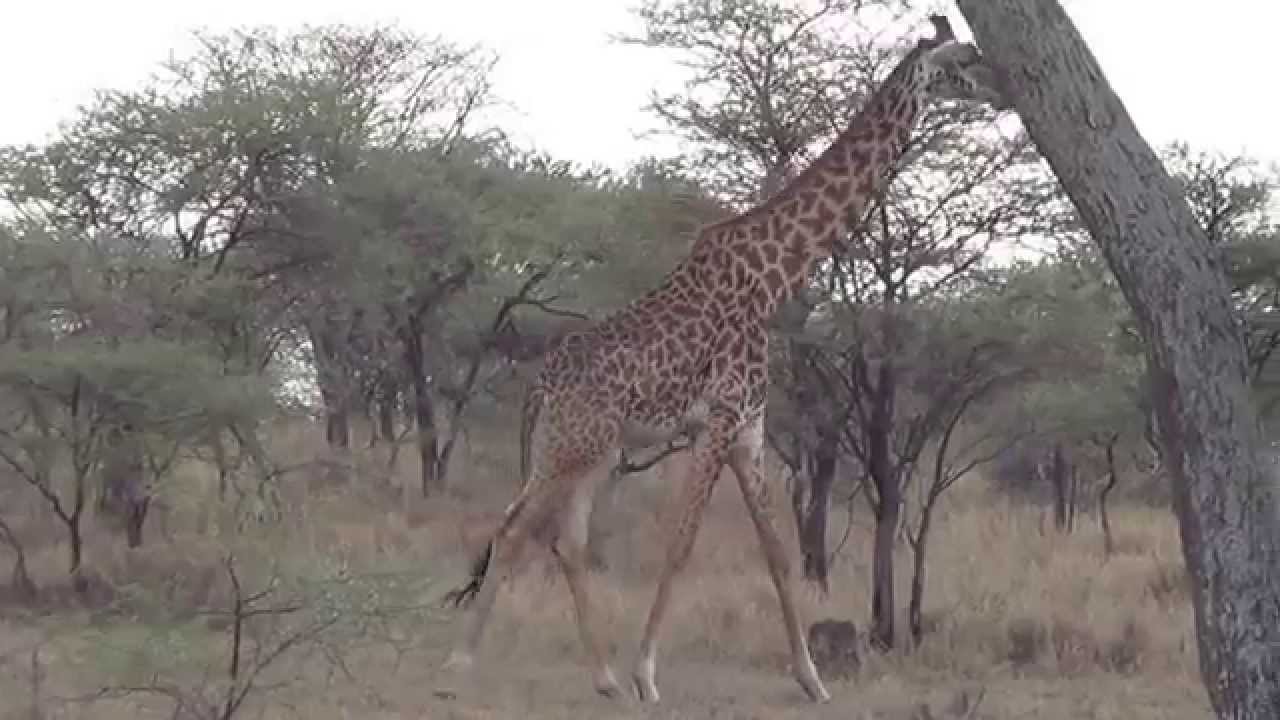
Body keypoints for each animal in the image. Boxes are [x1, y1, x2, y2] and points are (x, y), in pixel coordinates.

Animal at [439, 14, 1009, 704]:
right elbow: (681, 542)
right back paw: (462, 663)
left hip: (589, 449)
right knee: (513, 529)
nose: (1003, 91)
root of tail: (538, 386)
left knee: (564, 541)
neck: (774, 276)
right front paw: (648, 675)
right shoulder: (718, 418)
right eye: (965, 59)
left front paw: (812, 680)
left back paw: (601, 679)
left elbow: (779, 552)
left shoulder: (749, 429)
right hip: (572, 447)